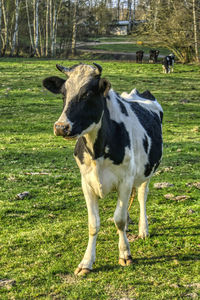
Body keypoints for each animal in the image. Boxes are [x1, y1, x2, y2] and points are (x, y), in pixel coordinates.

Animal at [43, 63, 163, 276]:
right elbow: (93, 224)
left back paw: (143, 229)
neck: (97, 151)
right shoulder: (86, 182)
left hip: (146, 172)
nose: (61, 127)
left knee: (142, 196)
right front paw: (86, 262)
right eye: (63, 94)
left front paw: (125, 254)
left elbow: (119, 219)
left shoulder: (125, 180)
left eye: (87, 94)